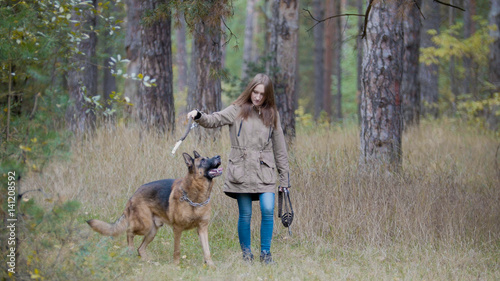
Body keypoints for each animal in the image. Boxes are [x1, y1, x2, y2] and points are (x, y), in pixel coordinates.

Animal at [87, 150, 222, 266]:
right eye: (203, 160)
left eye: (208, 157)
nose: (219, 156)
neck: (196, 198)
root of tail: (133, 195)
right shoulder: (177, 229)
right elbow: (177, 250)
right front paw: (176, 265)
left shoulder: (202, 229)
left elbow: (207, 250)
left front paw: (211, 265)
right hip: (144, 226)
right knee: (129, 231)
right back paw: (130, 249)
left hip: (152, 231)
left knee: (140, 248)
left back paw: (149, 262)